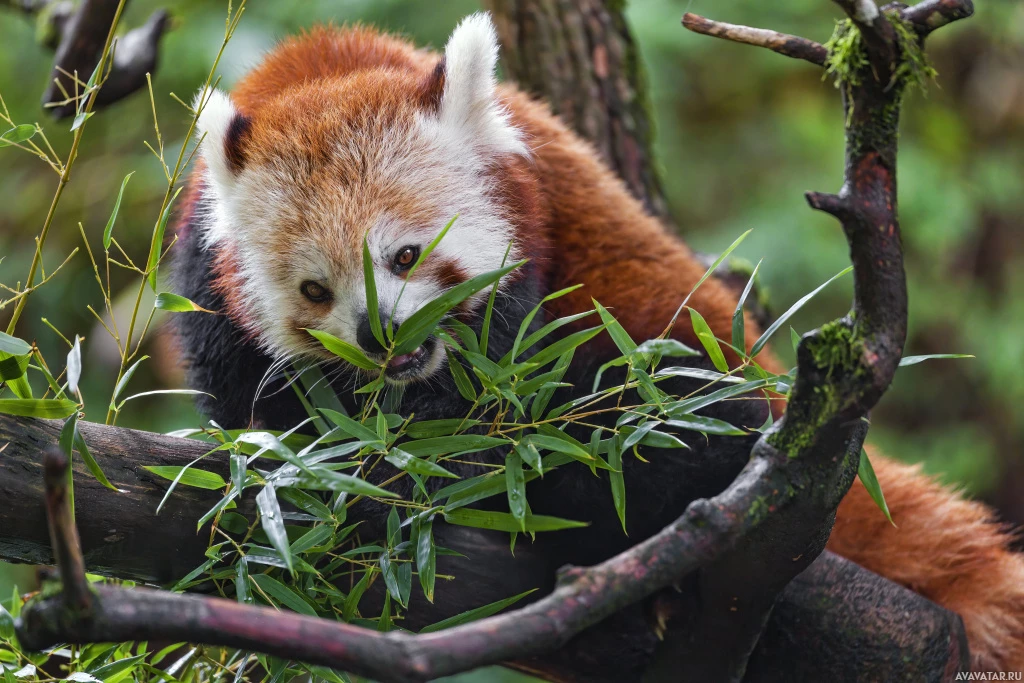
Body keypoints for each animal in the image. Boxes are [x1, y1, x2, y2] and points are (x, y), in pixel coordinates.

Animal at [172, 13, 1019, 671]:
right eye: (315, 290)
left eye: (406, 256)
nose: (384, 337)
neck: (320, 64)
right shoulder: (207, 286)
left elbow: (501, 424)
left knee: (677, 423)